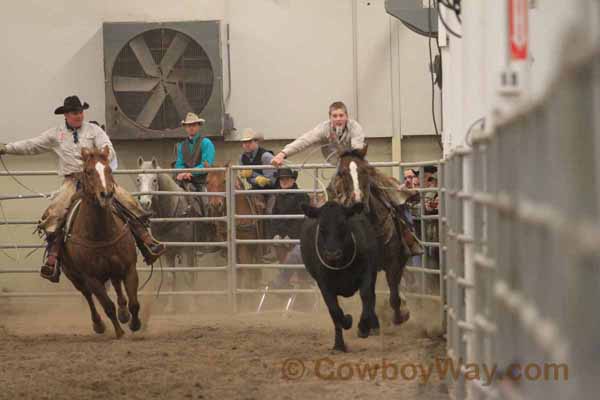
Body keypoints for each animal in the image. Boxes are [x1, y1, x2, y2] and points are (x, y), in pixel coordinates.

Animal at [61, 146, 141, 338]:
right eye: (88, 172)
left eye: (109, 170)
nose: (106, 194)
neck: (102, 233)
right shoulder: (92, 278)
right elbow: (107, 306)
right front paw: (119, 333)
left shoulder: (130, 268)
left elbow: (134, 302)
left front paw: (135, 324)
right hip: (74, 276)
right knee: (88, 296)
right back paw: (98, 324)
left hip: (114, 269)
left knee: (117, 286)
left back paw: (124, 313)